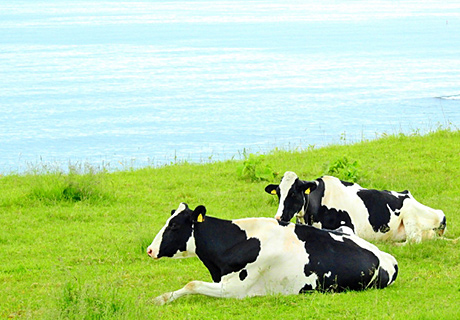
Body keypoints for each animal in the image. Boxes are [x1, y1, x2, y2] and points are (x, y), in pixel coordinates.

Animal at [148, 202, 398, 304]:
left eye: (174, 225)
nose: (150, 250)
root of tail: (387, 257)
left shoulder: (235, 289)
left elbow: (192, 284)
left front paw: (159, 299)